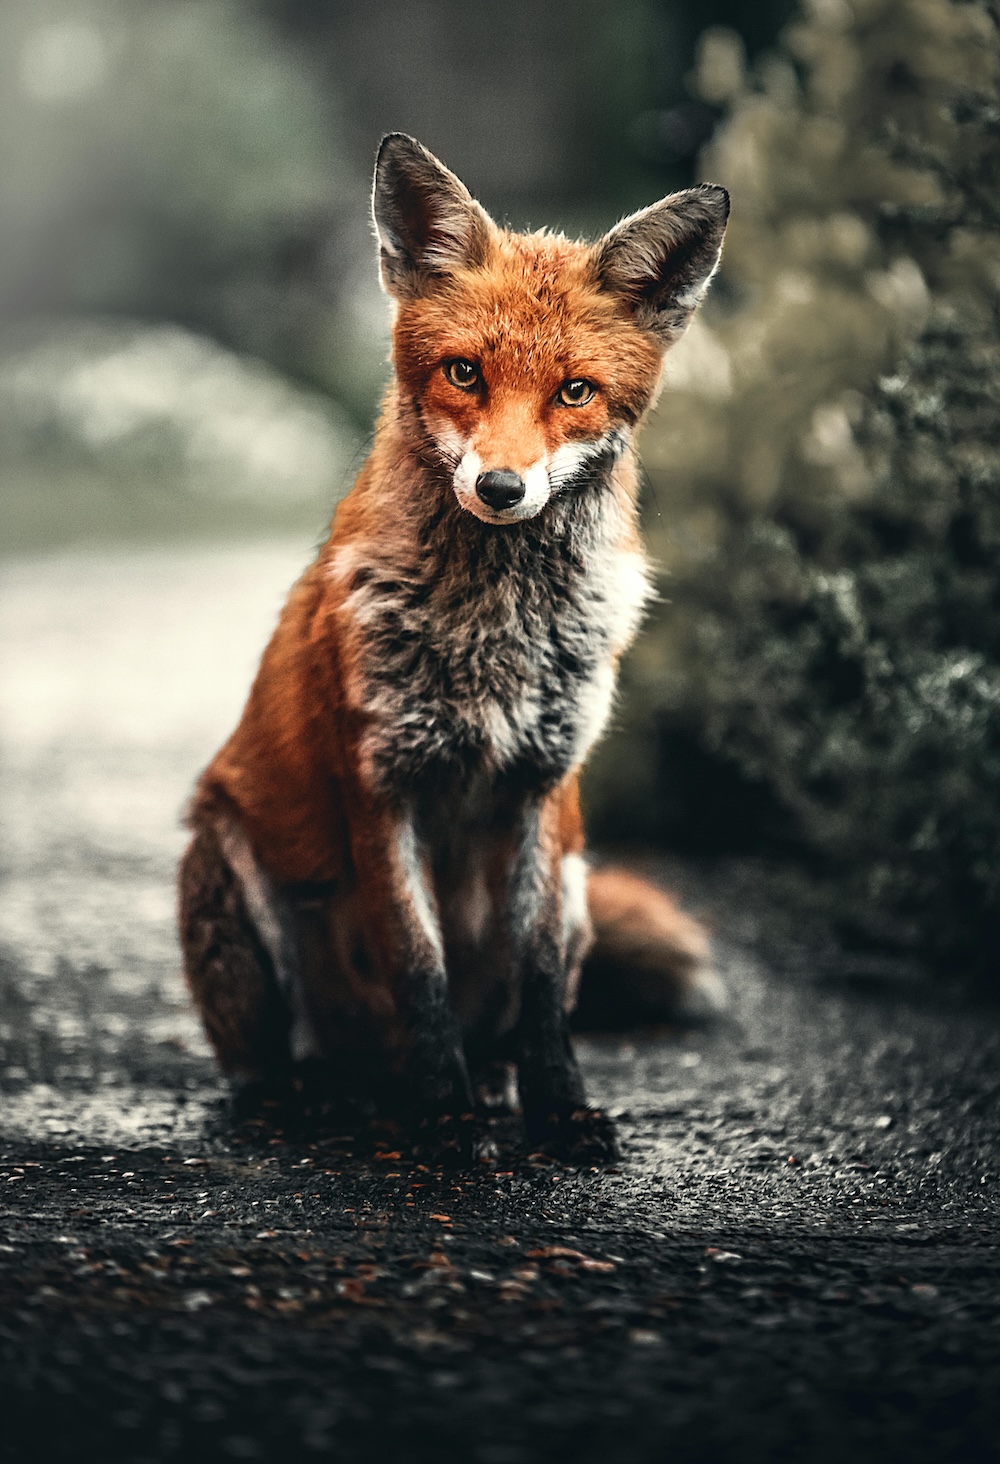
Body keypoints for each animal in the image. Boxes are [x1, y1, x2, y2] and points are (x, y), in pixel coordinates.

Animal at [178, 133, 729, 1164]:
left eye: (575, 391)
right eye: (465, 373)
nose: (503, 488)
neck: (494, 634)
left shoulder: (545, 790)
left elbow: (542, 986)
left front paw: (560, 1110)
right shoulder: (381, 784)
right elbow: (418, 968)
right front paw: (445, 1120)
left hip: (581, 880)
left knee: (504, 1021)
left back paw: (489, 1087)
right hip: (229, 866)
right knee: (277, 1064)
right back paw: (323, 1098)